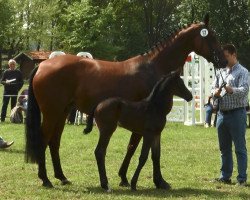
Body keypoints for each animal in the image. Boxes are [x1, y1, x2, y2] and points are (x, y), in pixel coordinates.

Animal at [26, 14, 228, 188]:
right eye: (211, 37)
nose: (224, 61)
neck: (153, 67)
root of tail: (42, 65)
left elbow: (143, 151)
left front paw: (140, 179)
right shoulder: (144, 126)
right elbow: (137, 150)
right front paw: (135, 179)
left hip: (62, 112)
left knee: (54, 141)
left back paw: (61, 177)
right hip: (51, 113)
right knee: (44, 140)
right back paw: (45, 179)